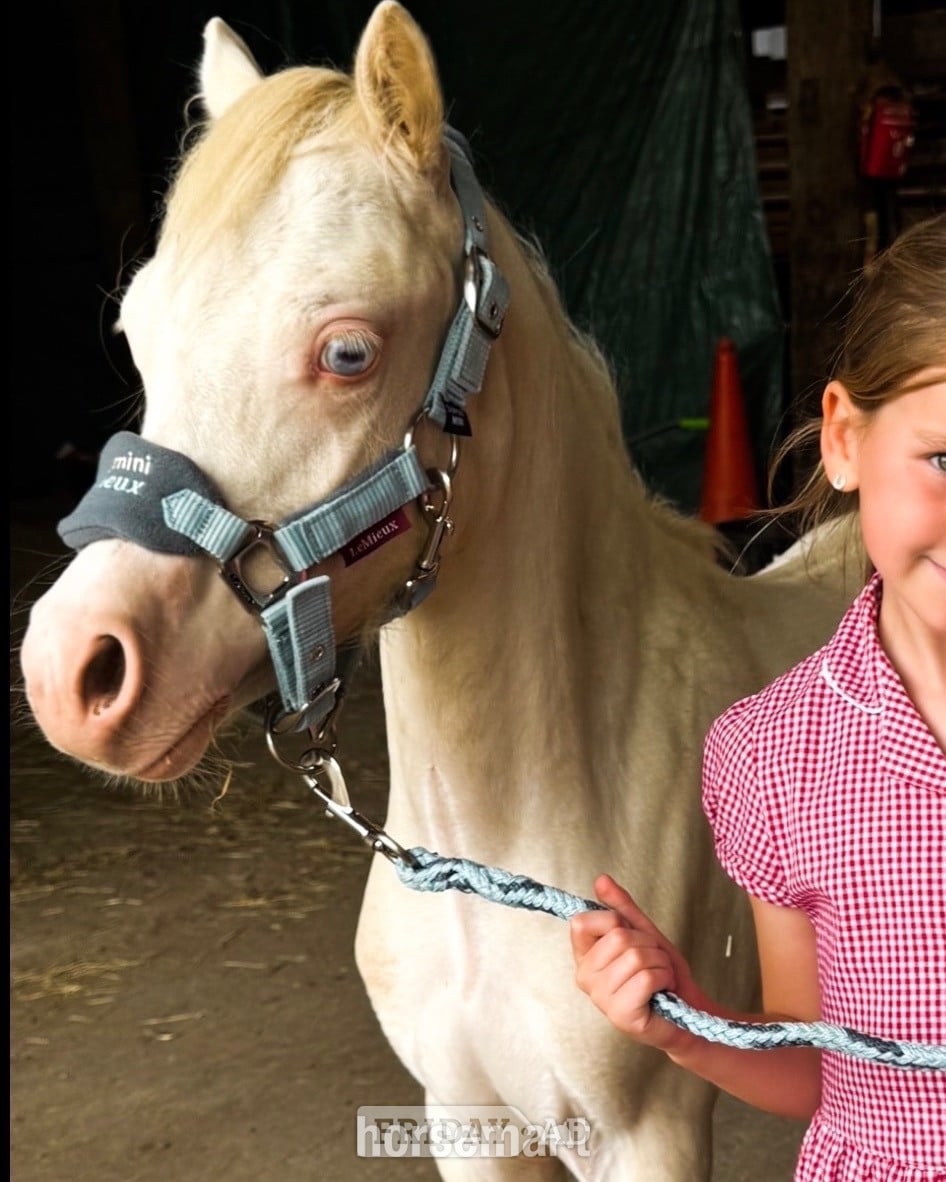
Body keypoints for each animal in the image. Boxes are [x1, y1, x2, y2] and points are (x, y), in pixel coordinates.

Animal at [19, 4, 863, 1177]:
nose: (73, 669)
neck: (498, 863)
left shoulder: (649, 1133)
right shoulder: (466, 1119)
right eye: (136, 333)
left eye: (347, 351)